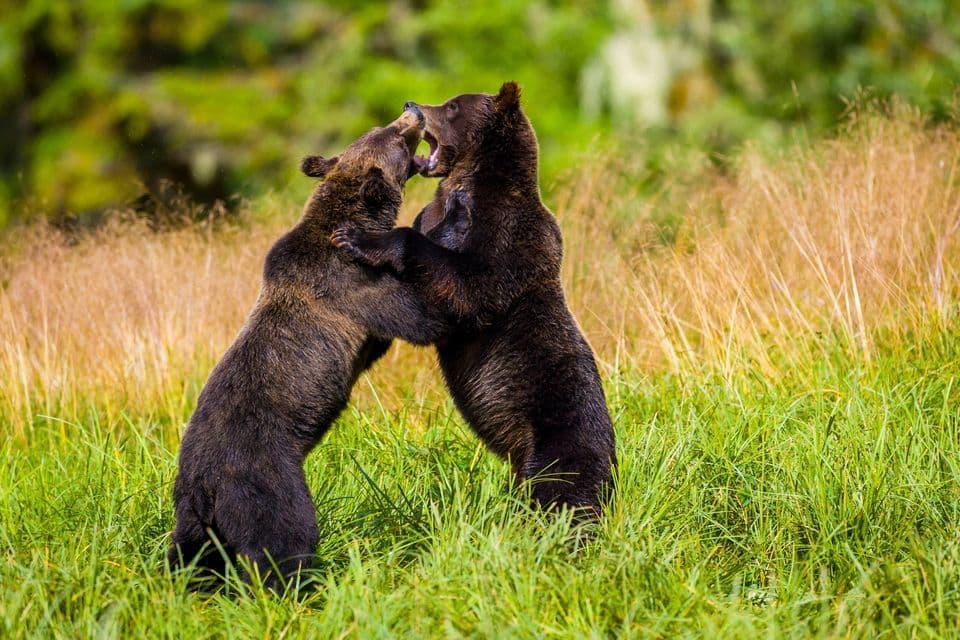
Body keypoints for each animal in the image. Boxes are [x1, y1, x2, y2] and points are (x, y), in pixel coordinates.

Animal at [167, 106, 451, 590]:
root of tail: (202, 485)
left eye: (379, 128)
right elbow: (414, 315)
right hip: (262, 478)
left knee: (185, 555)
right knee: (283, 537)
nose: (411, 109)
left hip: (191, 516)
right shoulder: (350, 284)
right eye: (394, 138)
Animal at [332, 83, 616, 516]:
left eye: (451, 107)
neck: (468, 183)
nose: (412, 103)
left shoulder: (508, 236)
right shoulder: (439, 213)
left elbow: (472, 291)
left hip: (562, 439)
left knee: (562, 490)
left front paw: (359, 238)